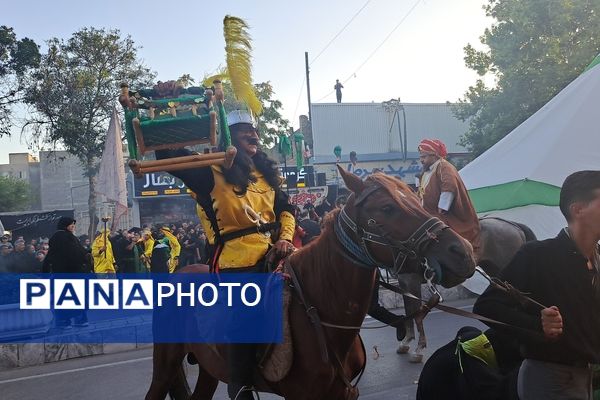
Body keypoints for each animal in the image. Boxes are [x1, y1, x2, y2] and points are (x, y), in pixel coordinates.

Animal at [145, 168, 474, 400]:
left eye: (417, 198)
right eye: (386, 208)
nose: (462, 252)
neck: (320, 310)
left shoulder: (342, 394)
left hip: (208, 370)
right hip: (165, 364)